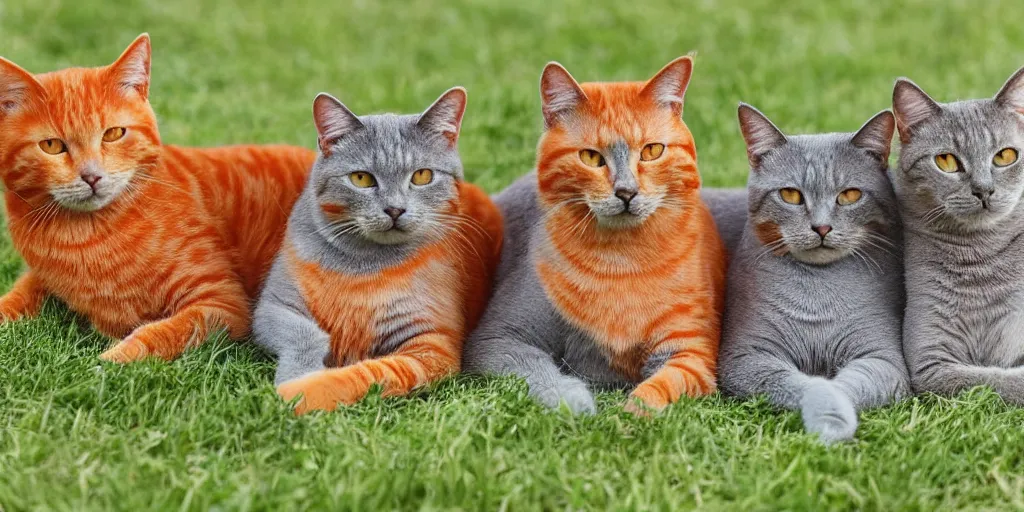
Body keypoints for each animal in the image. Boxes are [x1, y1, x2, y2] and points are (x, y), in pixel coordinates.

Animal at [0, 34, 315, 362]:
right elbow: (18, 293)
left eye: (113, 134)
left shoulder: (222, 302)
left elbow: (164, 331)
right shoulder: (38, 277)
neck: (88, 238)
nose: (91, 176)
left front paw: (111, 359)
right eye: (52, 146)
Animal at [251, 87, 499, 411]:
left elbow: (373, 372)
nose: (394, 209)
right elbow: (305, 335)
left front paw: (306, 391)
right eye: (361, 178)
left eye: (422, 176)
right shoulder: (273, 306)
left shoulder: (432, 344)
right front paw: (297, 374)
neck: (366, 265)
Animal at [464, 57, 729, 415]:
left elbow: (660, 386)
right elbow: (537, 370)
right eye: (591, 157)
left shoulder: (692, 353)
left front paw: (629, 414)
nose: (627, 192)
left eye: (652, 151)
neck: (621, 259)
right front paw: (577, 403)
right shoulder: (499, 337)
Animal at [716, 103, 909, 444]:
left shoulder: (882, 358)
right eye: (791, 195)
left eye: (850, 195)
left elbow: (843, 384)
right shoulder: (745, 357)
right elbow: (809, 384)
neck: (817, 293)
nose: (821, 227)